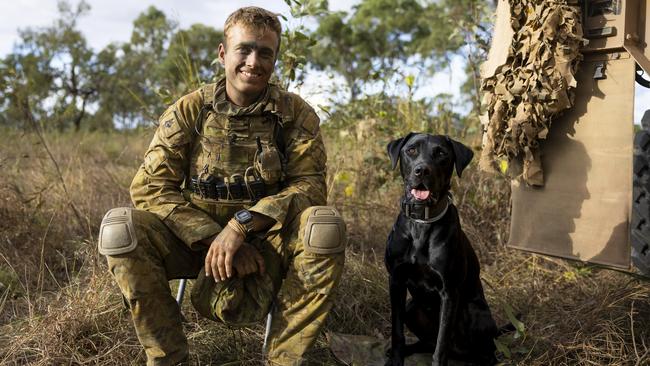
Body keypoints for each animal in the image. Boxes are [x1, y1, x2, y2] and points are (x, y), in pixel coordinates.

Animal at [384, 134, 496, 366]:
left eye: (441, 153)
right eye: (411, 150)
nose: (422, 171)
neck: (422, 220)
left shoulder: (449, 292)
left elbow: (441, 343)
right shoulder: (396, 280)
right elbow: (397, 330)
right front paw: (396, 358)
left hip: (477, 313)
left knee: (487, 353)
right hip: (411, 308)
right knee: (426, 342)